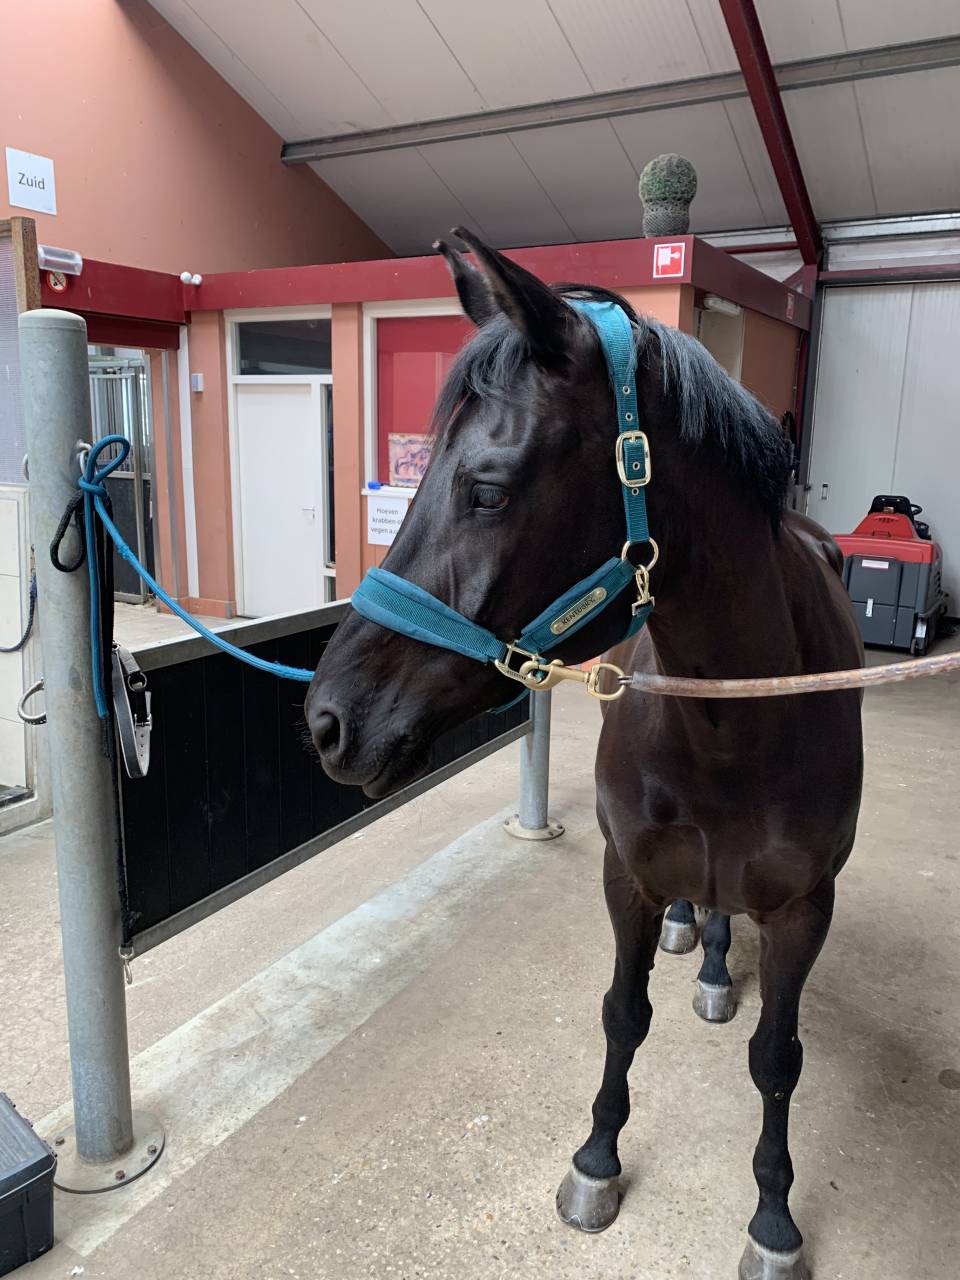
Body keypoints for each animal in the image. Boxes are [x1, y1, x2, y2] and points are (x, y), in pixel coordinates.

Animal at [305, 228, 863, 1280]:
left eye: (486, 488)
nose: (326, 719)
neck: (736, 726)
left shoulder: (809, 908)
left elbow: (780, 1059)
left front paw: (774, 1216)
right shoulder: (628, 877)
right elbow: (622, 1013)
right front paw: (597, 1159)